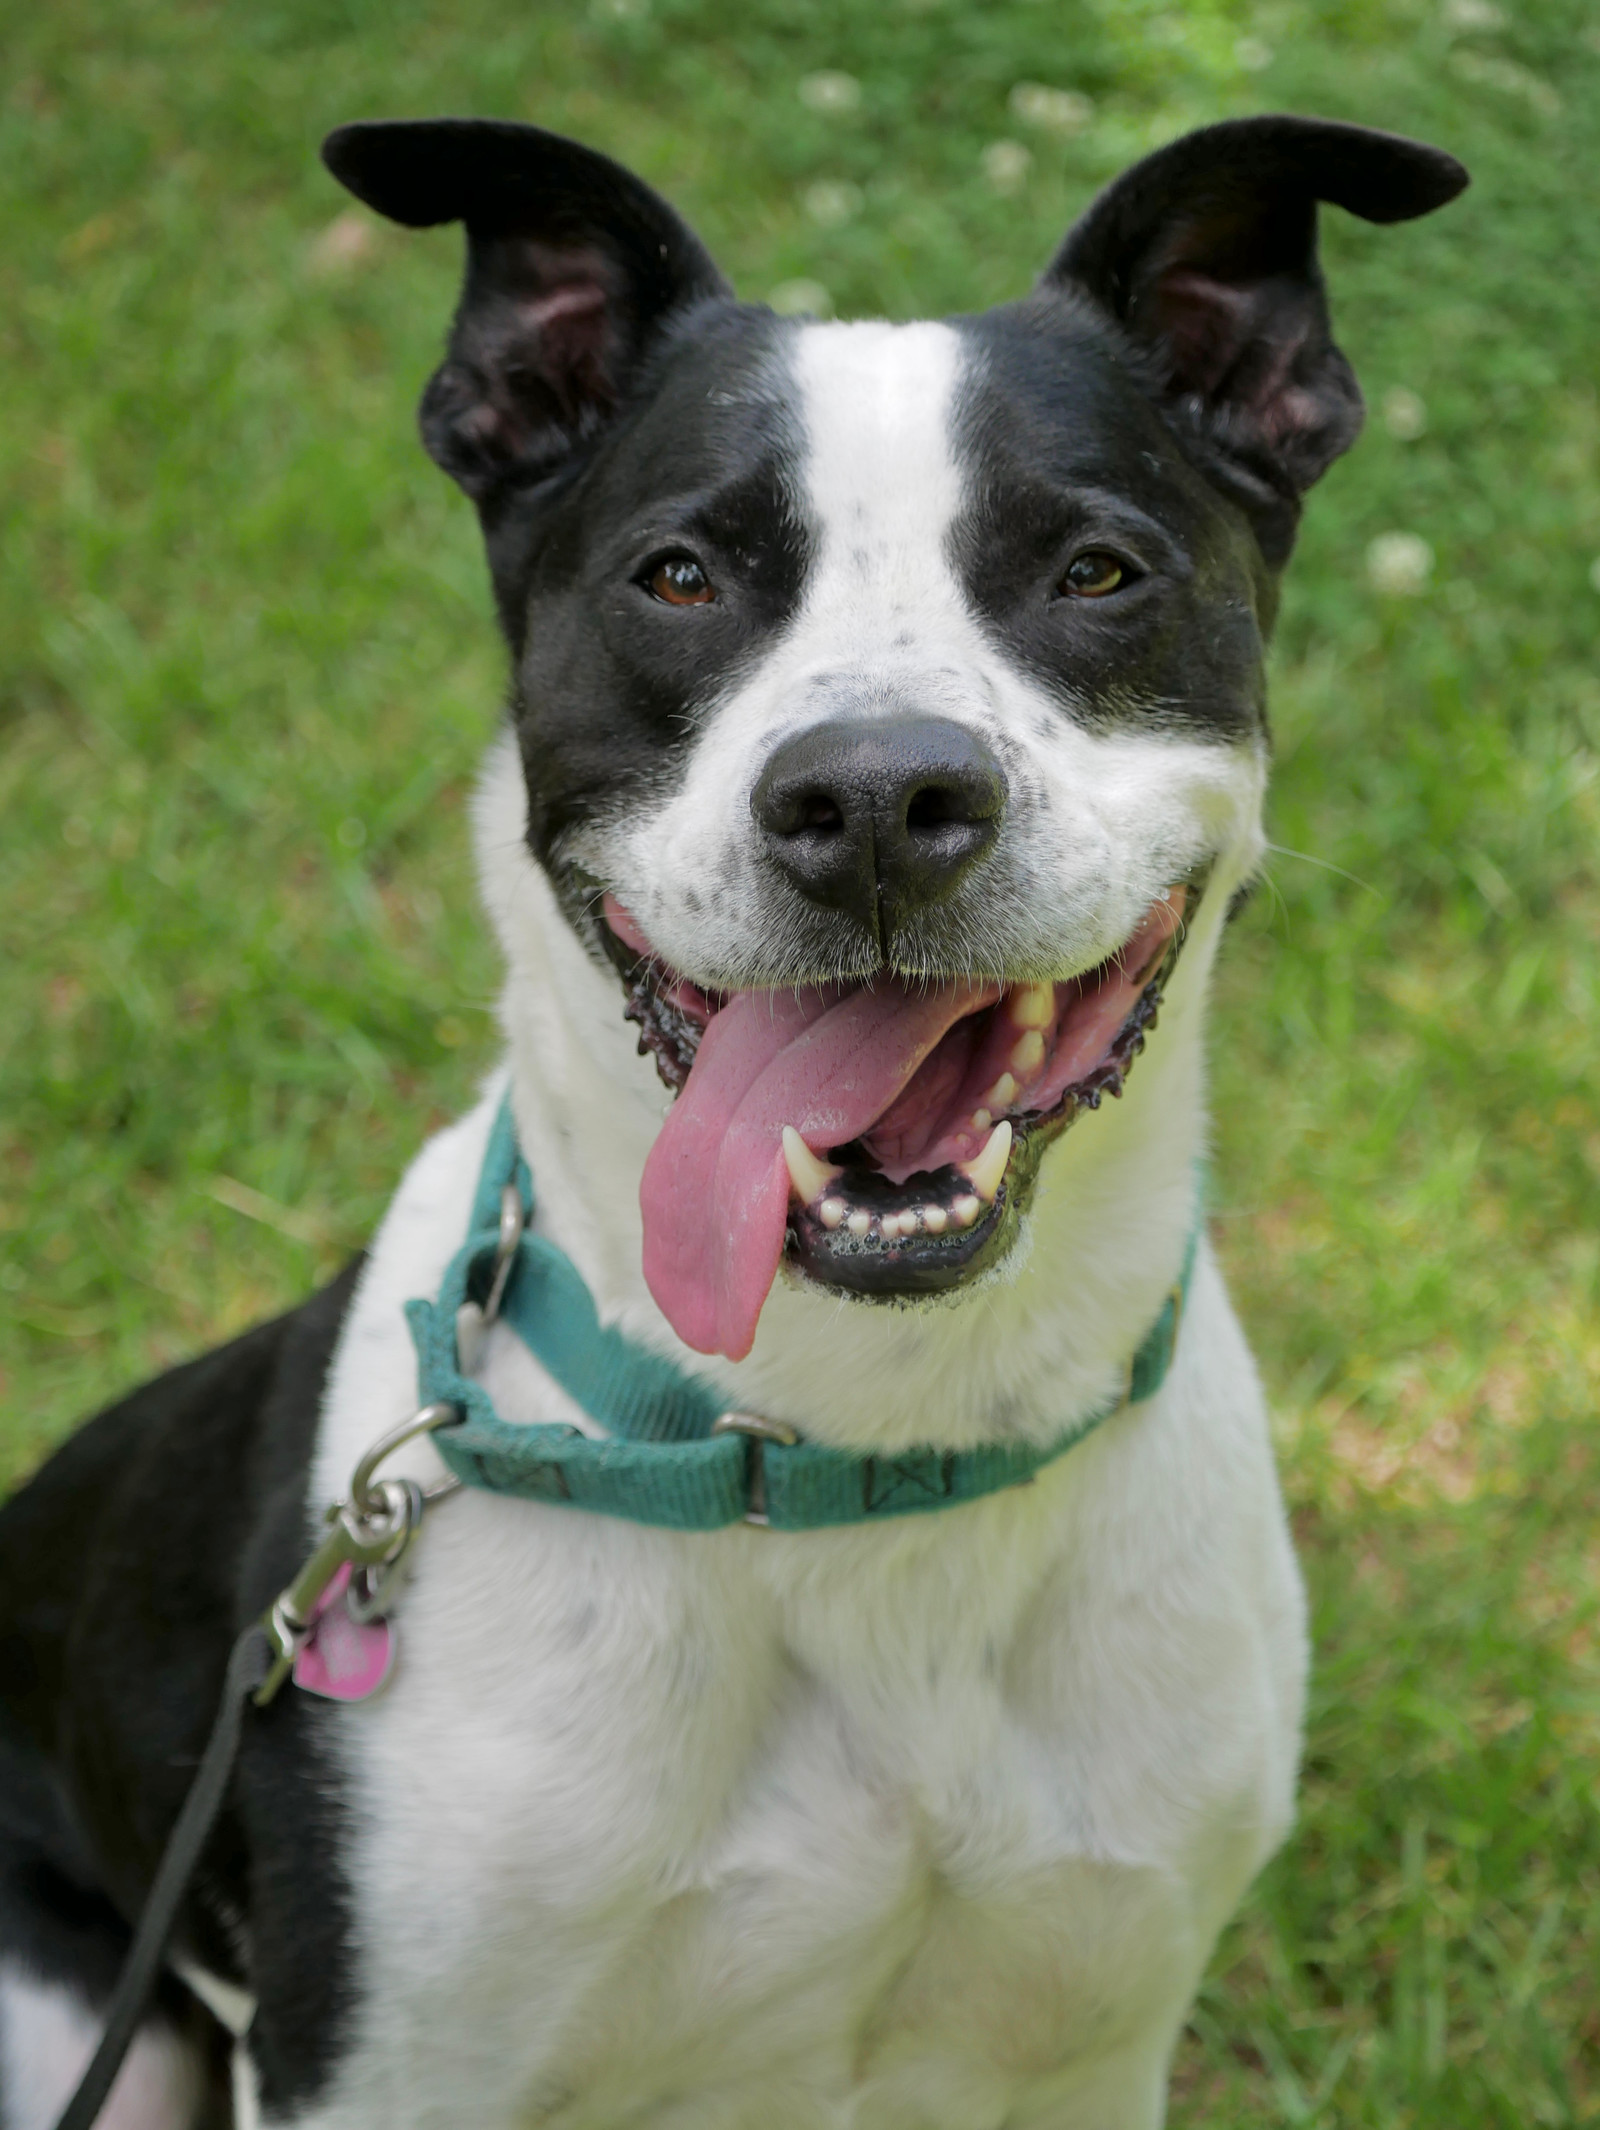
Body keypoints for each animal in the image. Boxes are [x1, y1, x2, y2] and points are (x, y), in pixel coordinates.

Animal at [3, 116, 1465, 2130]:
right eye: (682, 576)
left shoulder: (1092, 2039)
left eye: (1096, 569)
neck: (865, 1450)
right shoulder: (388, 2075)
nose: (875, 799)